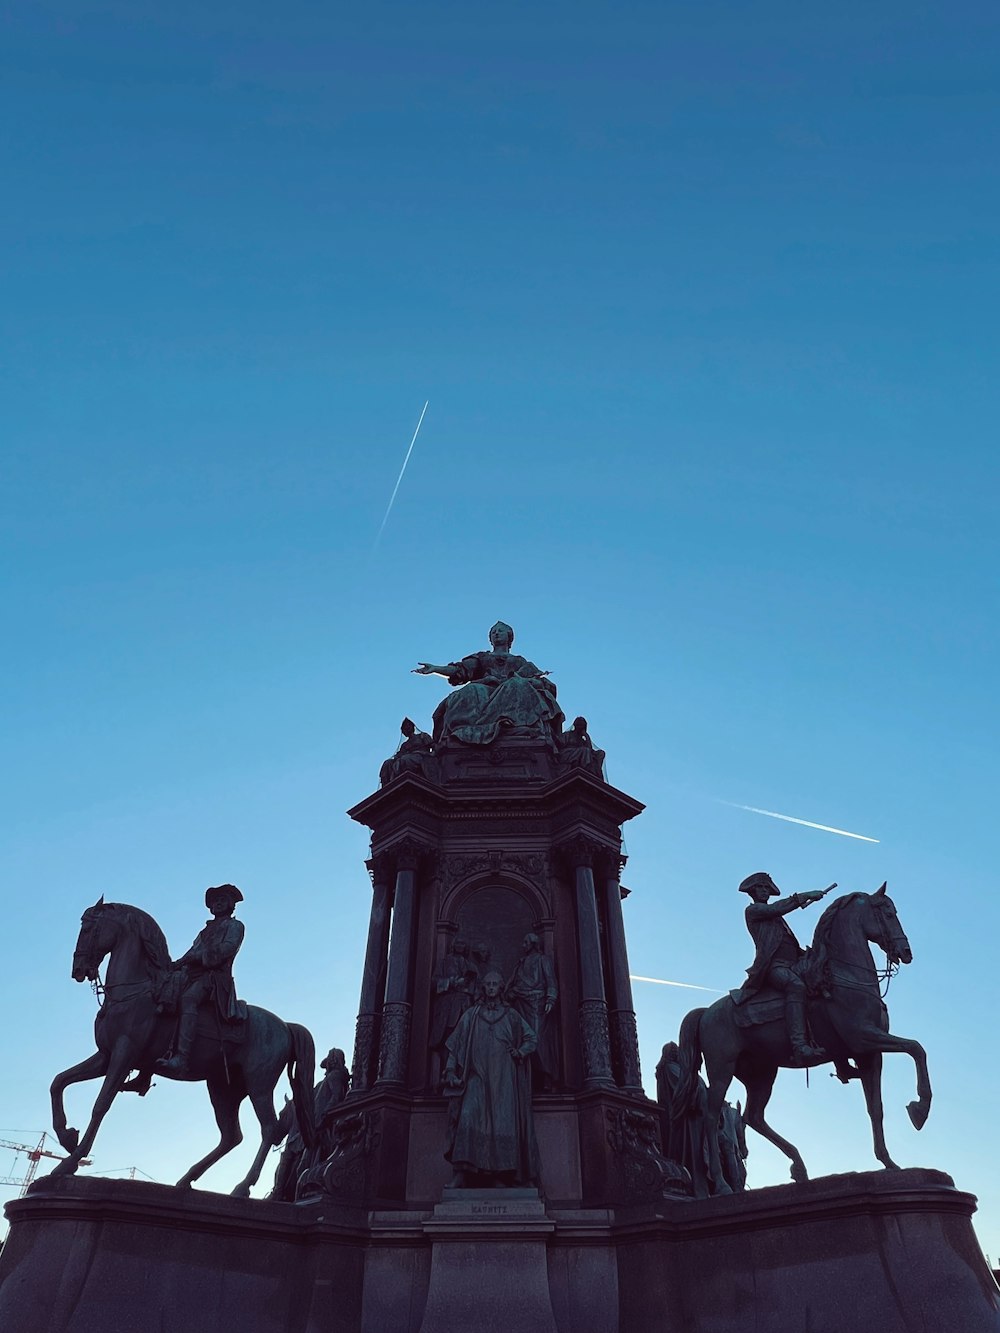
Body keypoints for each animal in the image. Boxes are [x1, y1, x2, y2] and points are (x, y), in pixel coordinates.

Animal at [48, 895, 317, 1199]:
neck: (134, 991)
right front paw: (67, 1136)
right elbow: (58, 1082)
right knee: (231, 1136)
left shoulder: (123, 1053)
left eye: (88, 928)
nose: (78, 970)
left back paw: (241, 1186)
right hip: (223, 1087)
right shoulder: (105, 1056)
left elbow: (101, 1103)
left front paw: (69, 1161)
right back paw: (187, 1179)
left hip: (258, 1084)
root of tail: (285, 1025)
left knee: (270, 1129)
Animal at [677, 890, 938, 1183]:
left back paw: (799, 1166)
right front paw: (920, 1109)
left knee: (754, 1117)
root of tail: (706, 1013)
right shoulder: (864, 1037)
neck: (844, 975)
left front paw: (889, 1162)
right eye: (889, 914)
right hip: (722, 1069)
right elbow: (916, 1048)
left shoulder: (869, 1055)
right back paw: (721, 1182)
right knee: (712, 1117)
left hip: (762, 1074)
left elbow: (876, 1107)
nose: (906, 952)